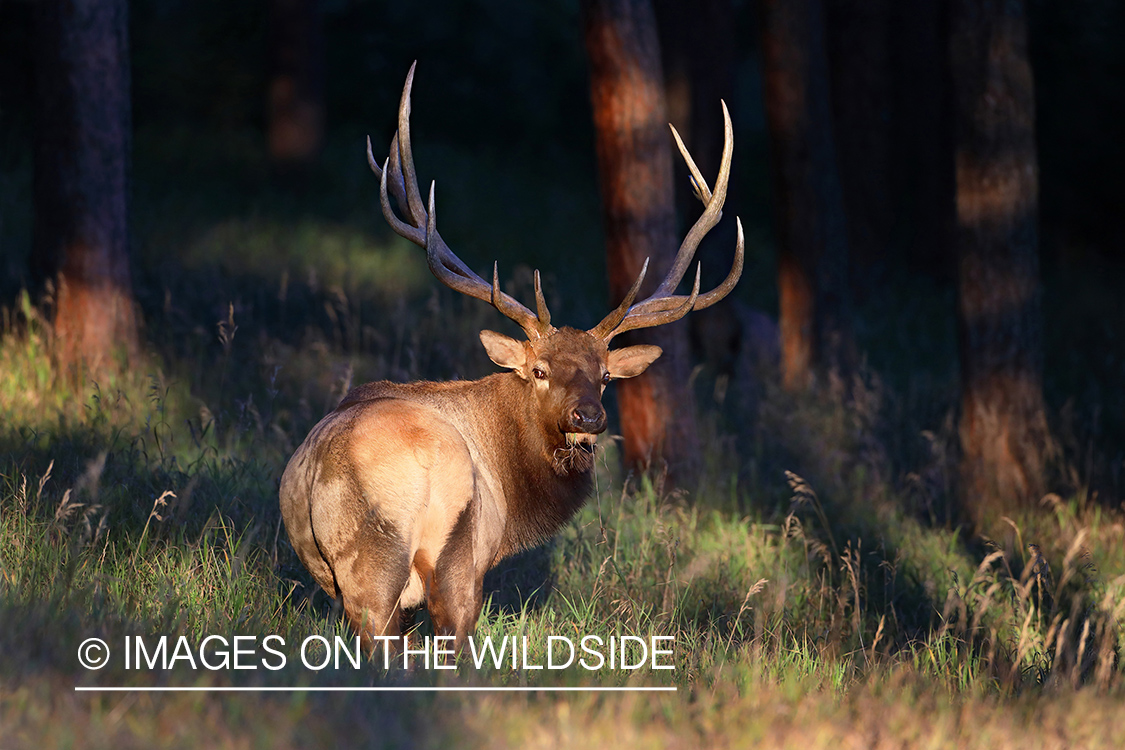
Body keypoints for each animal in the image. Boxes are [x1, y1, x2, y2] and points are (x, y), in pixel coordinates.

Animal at [277, 67, 742, 661]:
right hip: (421, 553)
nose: (588, 418)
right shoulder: (474, 560)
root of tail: (329, 471)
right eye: (539, 370)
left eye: (606, 377)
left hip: (343, 573)